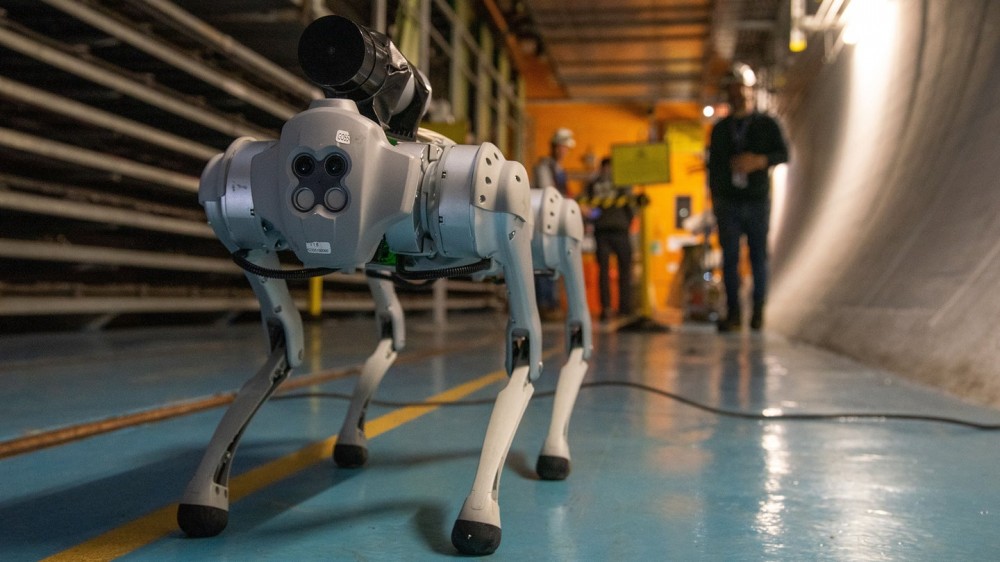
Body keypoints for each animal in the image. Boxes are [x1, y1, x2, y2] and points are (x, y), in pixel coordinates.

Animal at [177, 15, 588, 552]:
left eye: (332, 165)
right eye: (305, 166)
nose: (318, 197)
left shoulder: (501, 210)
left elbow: (525, 353)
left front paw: (480, 512)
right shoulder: (243, 225)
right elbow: (285, 344)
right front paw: (205, 493)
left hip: (555, 234)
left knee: (577, 338)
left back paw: (555, 448)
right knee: (390, 333)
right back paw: (351, 437)